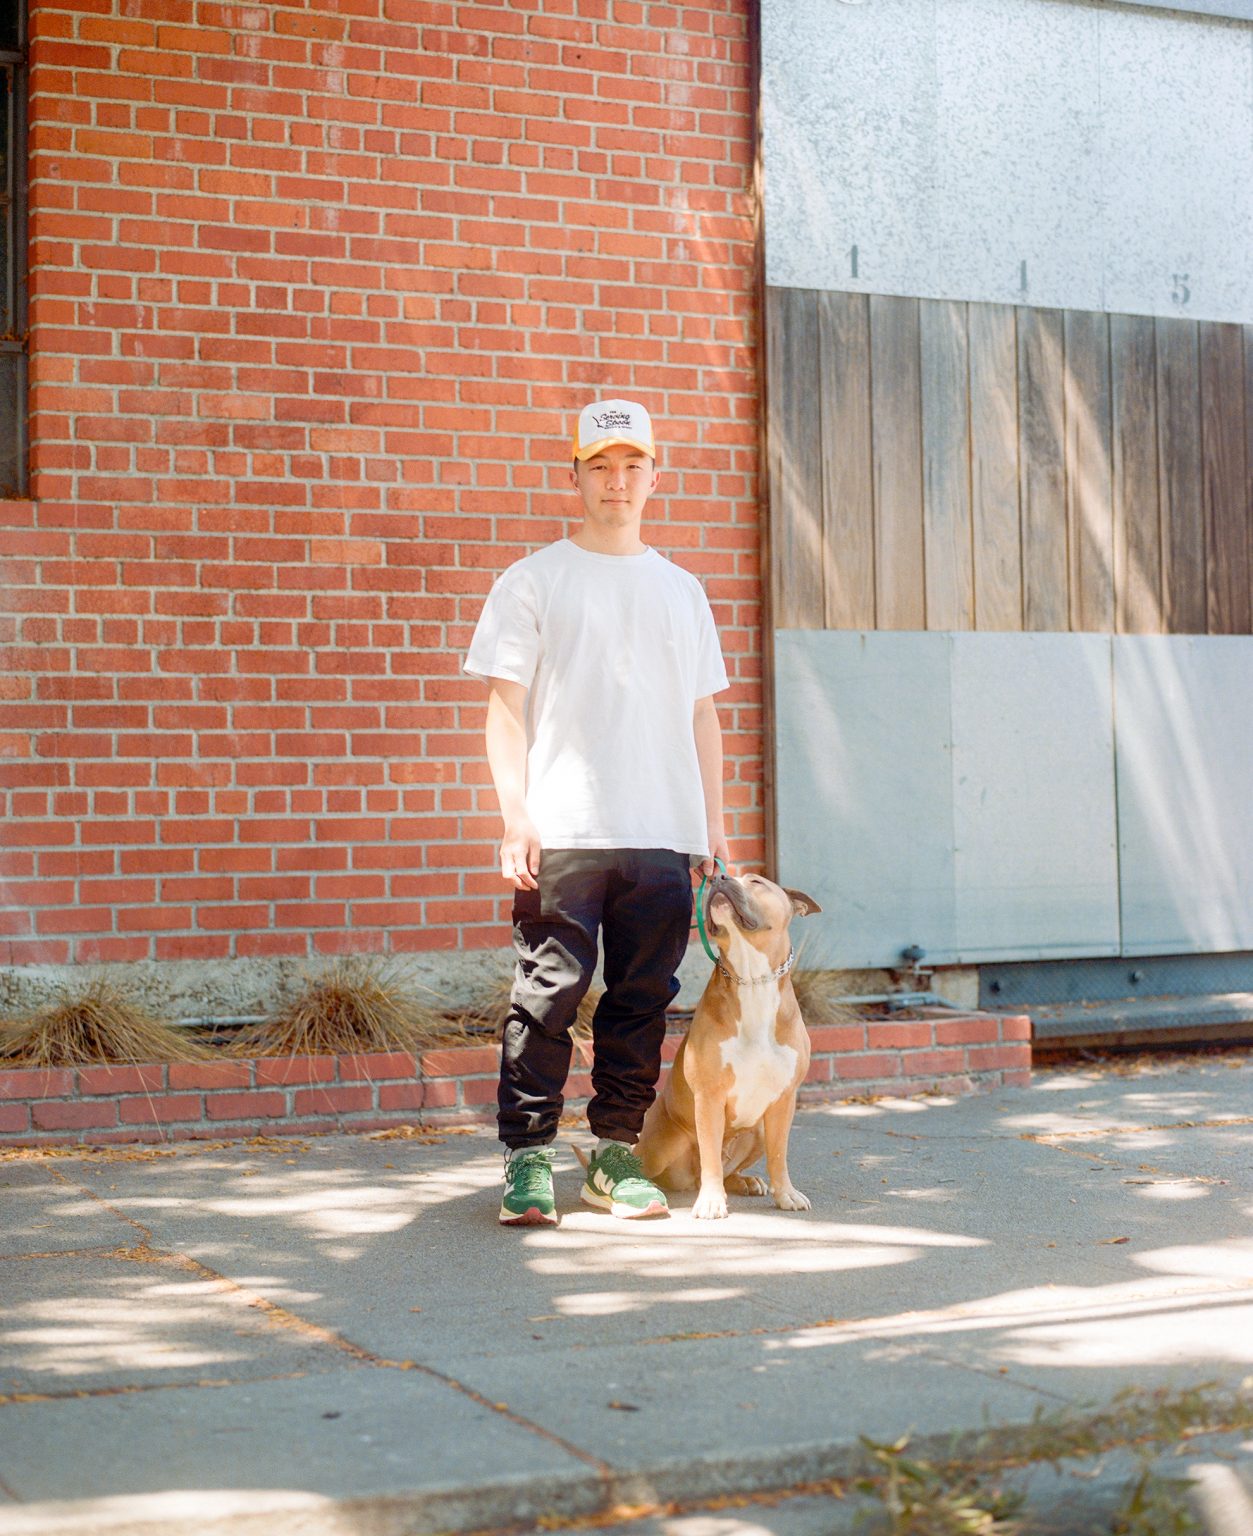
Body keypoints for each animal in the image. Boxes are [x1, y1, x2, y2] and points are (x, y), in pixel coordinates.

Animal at [635, 878, 823, 1222]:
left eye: (757, 881)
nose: (717, 879)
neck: (752, 980)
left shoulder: (784, 1099)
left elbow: (779, 1154)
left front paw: (786, 1193)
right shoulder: (709, 1096)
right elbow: (709, 1154)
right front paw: (711, 1201)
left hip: (758, 1130)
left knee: (730, 1168)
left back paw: (744, 1181)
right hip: (663, 1145)